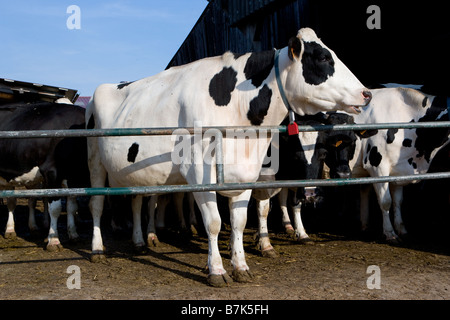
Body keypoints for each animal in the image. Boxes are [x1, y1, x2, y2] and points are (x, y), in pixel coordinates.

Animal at [0, 102, 89, 250]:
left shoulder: (71, 177)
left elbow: (72, 206)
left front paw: (73, 234)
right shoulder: (52, 173)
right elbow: (55, 208)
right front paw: (54, 241)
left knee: (19, 200)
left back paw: (27, 228)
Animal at [86, 28, 370, 288]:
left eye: (323, 153)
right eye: (323, 58)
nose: (366, 93)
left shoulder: (245, 174)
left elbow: (239, 222)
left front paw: (241, 266)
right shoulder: (199, 173)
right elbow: (214, 223)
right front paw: (216, 270)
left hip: (136, 173)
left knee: (136, 202)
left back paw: (138, 241)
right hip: (95, 162)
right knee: (97, 204)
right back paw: (98, 249)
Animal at [326, 87, 448, 242]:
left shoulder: (399, 170)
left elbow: (398, 201)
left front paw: (402, 229)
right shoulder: (377, 167)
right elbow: (385, 201)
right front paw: (390, 233)